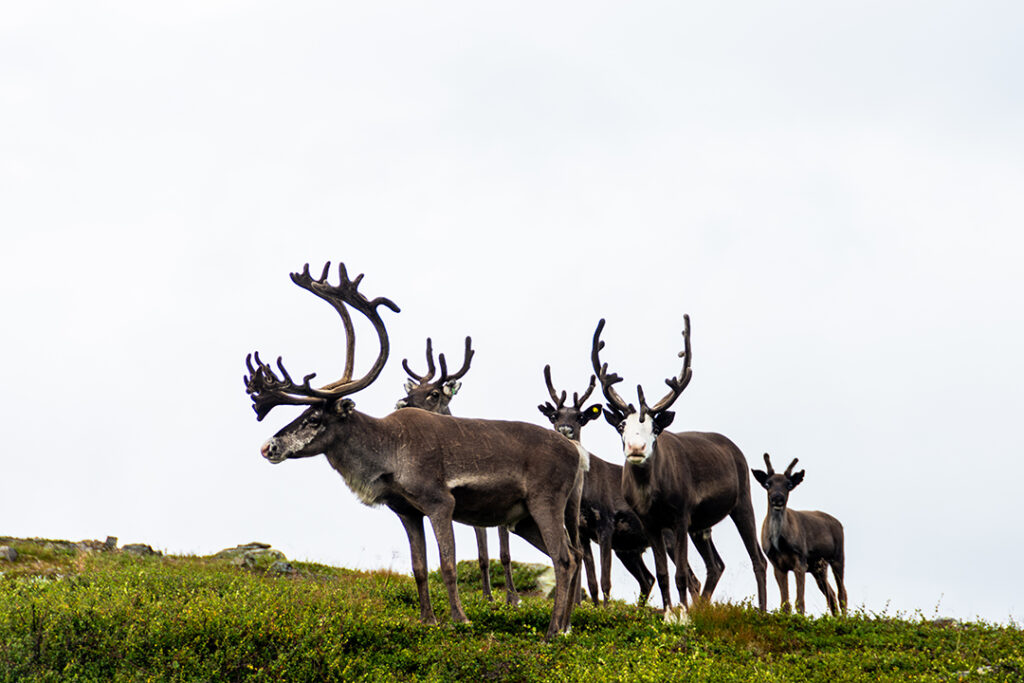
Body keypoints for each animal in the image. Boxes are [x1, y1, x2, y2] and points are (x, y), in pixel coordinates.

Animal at [749, 454, 843, 618]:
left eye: (789, 484)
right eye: (767, 483)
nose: (777, 498)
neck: (779, 544)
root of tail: (839, 523)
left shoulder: (800, 559)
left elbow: (800, 601)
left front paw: (800, 618)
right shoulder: (777, 565)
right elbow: (785, 603)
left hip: (837, 556)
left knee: (841, 592)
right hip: (818, 568)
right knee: (831, 594)